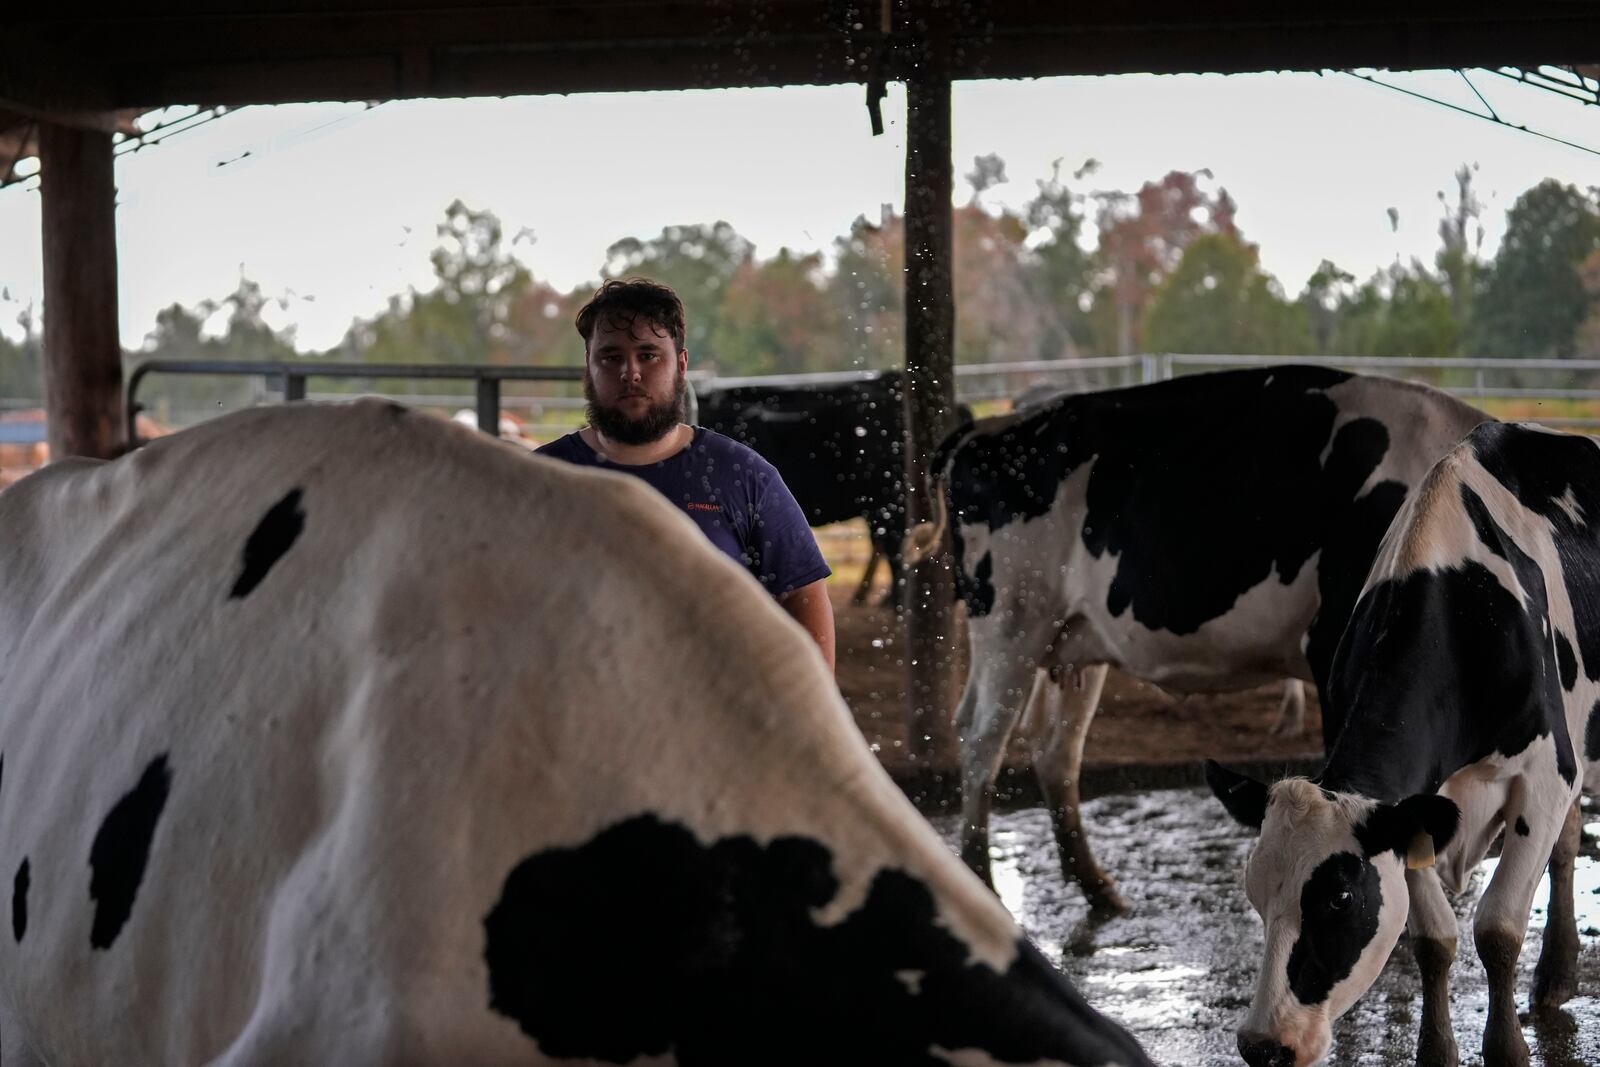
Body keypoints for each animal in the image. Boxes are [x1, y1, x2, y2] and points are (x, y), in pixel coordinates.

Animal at [1209, 419, 1600, 1067]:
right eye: (1255, 890)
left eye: (1340, 899)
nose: (1263, 1045)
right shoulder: (1411, 806)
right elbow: (1433, 940)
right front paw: (1436, 1050)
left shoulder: (1546, 773)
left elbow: (1497, 928)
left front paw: (1507, 1049)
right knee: (1567, 847)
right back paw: (1557, 976)